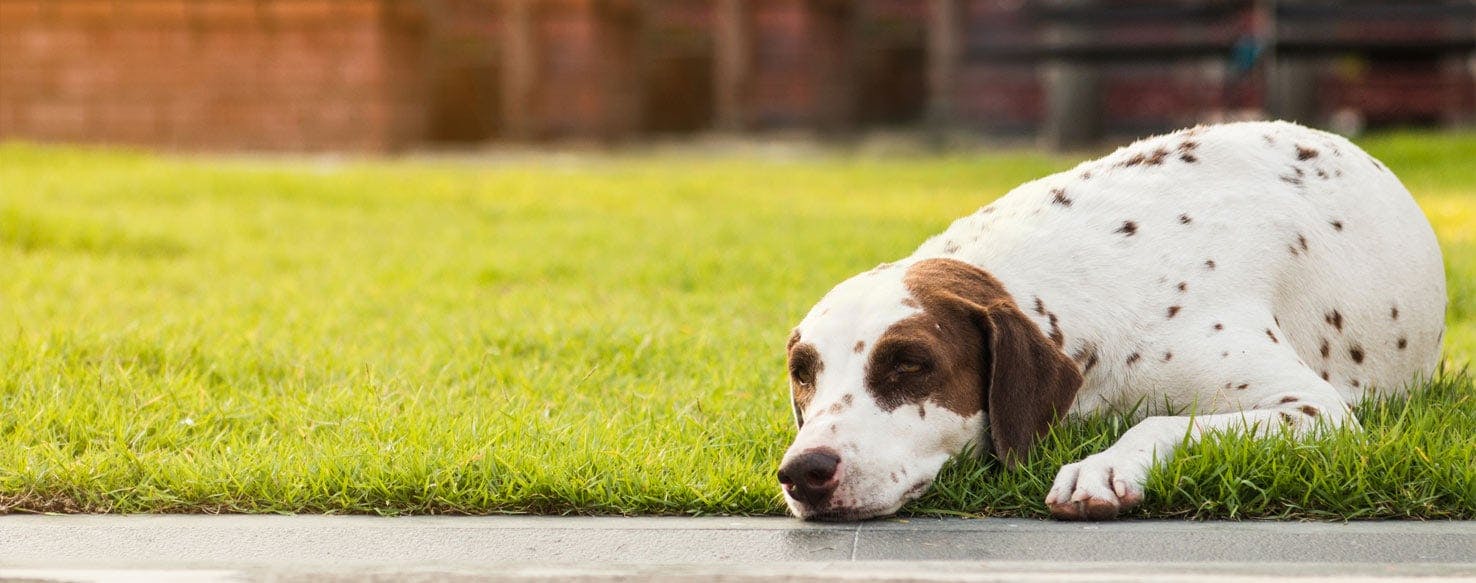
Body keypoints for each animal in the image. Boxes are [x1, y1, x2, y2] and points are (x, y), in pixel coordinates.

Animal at [779, 121, 1446, 522]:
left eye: (911, 364)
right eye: (802, 373)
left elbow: (1159, 421)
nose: (802, 471)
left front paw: (1102, 466)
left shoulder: (1316, 412)